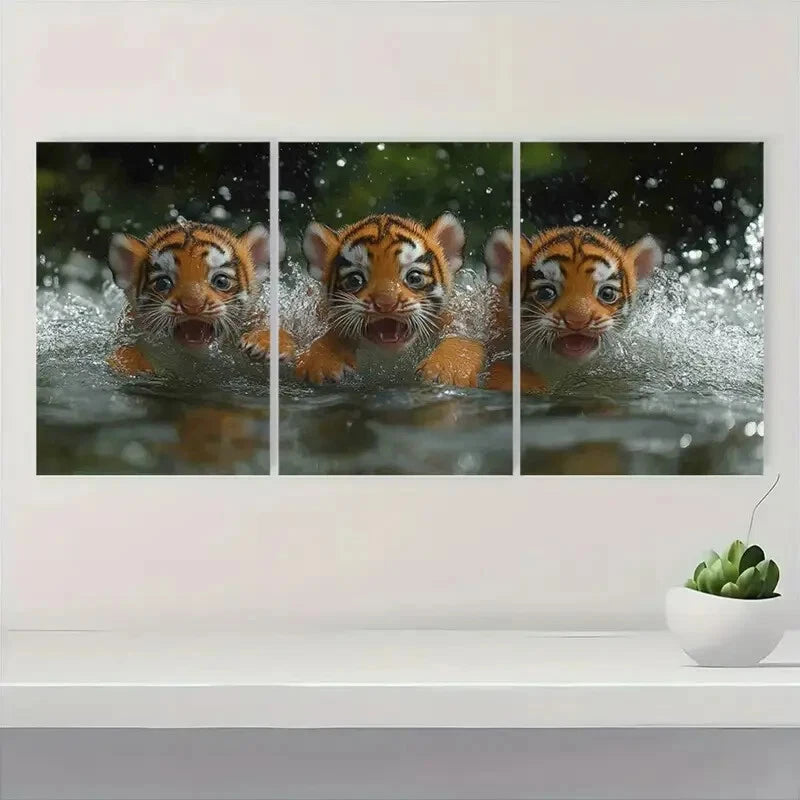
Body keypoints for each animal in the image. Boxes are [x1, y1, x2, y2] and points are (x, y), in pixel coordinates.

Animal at [295, 212, 485, 387]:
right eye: (355, 280)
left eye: (414, 277)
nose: (386, 303)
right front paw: (321, 362)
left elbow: (462, 337)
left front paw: (448, 370)